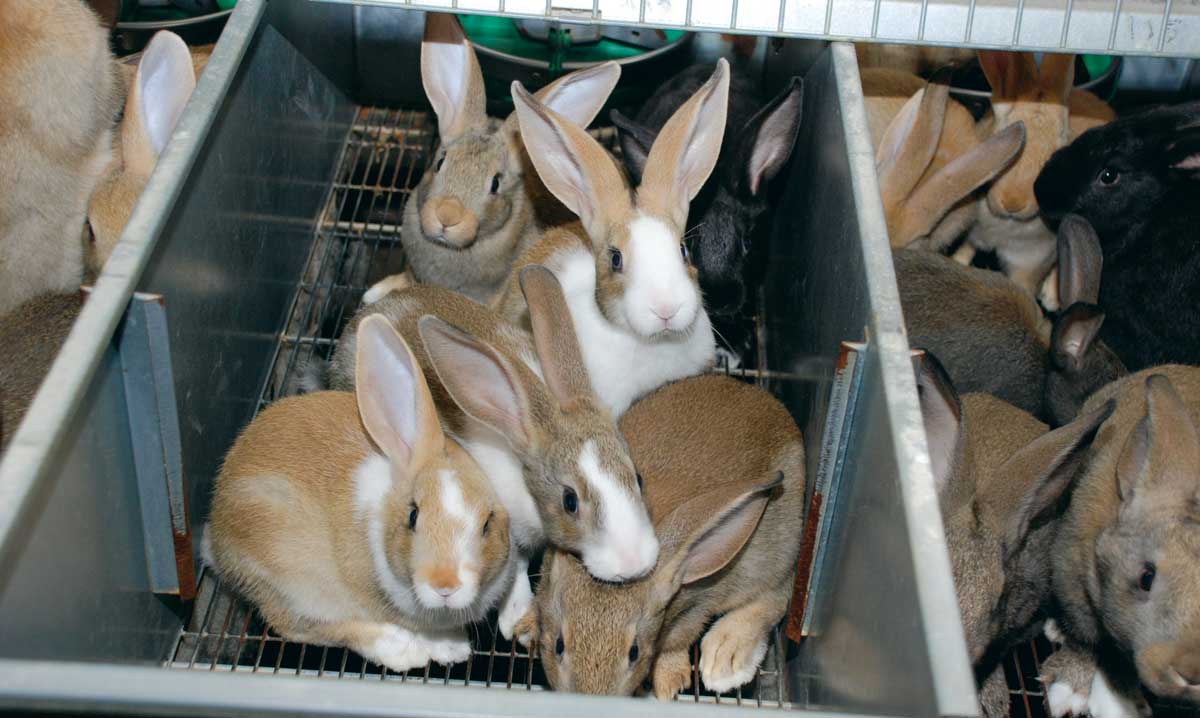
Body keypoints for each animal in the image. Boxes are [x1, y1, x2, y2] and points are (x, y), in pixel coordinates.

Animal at [206, 315, 516, 673]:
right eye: (413, 515)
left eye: (487, 523)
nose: (445, 585)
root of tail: (217, 541)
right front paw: (445, 648)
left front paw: (455, 648)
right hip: (292, 580)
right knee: (299, 626)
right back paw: (401, 650)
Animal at [327, 267, 657, 639]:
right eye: (569, 501)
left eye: (638, 478)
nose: (634, 565)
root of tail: (357, 323)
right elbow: (515, 566)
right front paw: (517, 619)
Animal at [514, 373, 805, 698]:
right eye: (559, 645)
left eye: (634, 652)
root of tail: (771, 404)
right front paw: (527, 626)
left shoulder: (693, 608)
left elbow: (675, 644)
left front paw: (668, 684)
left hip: (774, 553)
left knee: (777, 597)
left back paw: (725, 659)